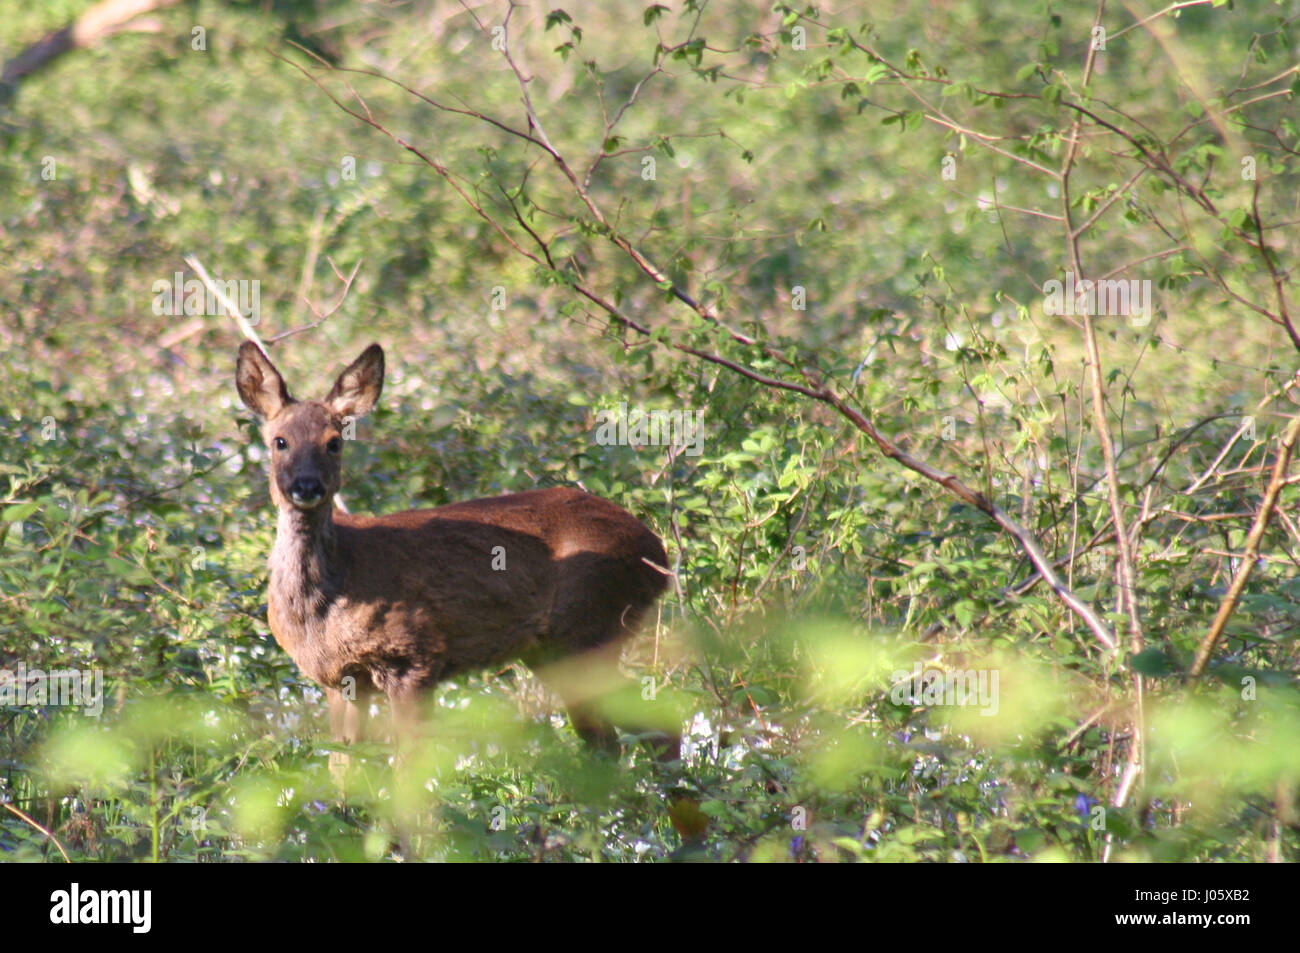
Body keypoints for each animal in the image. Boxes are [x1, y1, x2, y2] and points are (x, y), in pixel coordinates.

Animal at [235, 340, 674, 788]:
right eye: (280, 441)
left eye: (334, 442)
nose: (306, 486)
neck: (334, 592)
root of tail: (659, 554)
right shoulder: (339, 680)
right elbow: (343, 770)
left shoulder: (413, 654)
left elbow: (407, 770)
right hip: (553, 649)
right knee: (613, 738)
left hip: (589, 625)